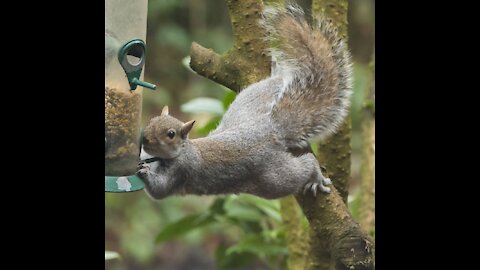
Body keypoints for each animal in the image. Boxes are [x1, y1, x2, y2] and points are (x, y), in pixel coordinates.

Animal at [135, 2, 352, 200]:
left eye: (171, 134)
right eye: (151, 121)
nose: (145, 139)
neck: (182, 150)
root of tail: (270, 127)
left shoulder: (182, 169)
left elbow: (159, 190)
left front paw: (143, 172)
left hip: (274, 179)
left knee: (302, 168)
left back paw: (315, 176)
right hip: (246, 104)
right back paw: (277, 73)